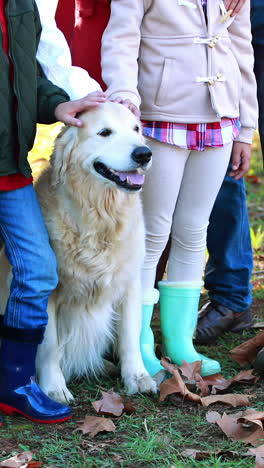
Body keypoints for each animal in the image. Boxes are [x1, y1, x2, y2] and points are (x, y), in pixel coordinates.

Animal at [0, 101, 157, 402]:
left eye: (136, 129)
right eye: (105, 132)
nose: (144, 154)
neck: (100, 217)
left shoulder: (129, 281)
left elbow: (130, 335)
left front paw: (137, 376)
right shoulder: (50, 294)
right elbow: (49, 344)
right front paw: (53, 388)